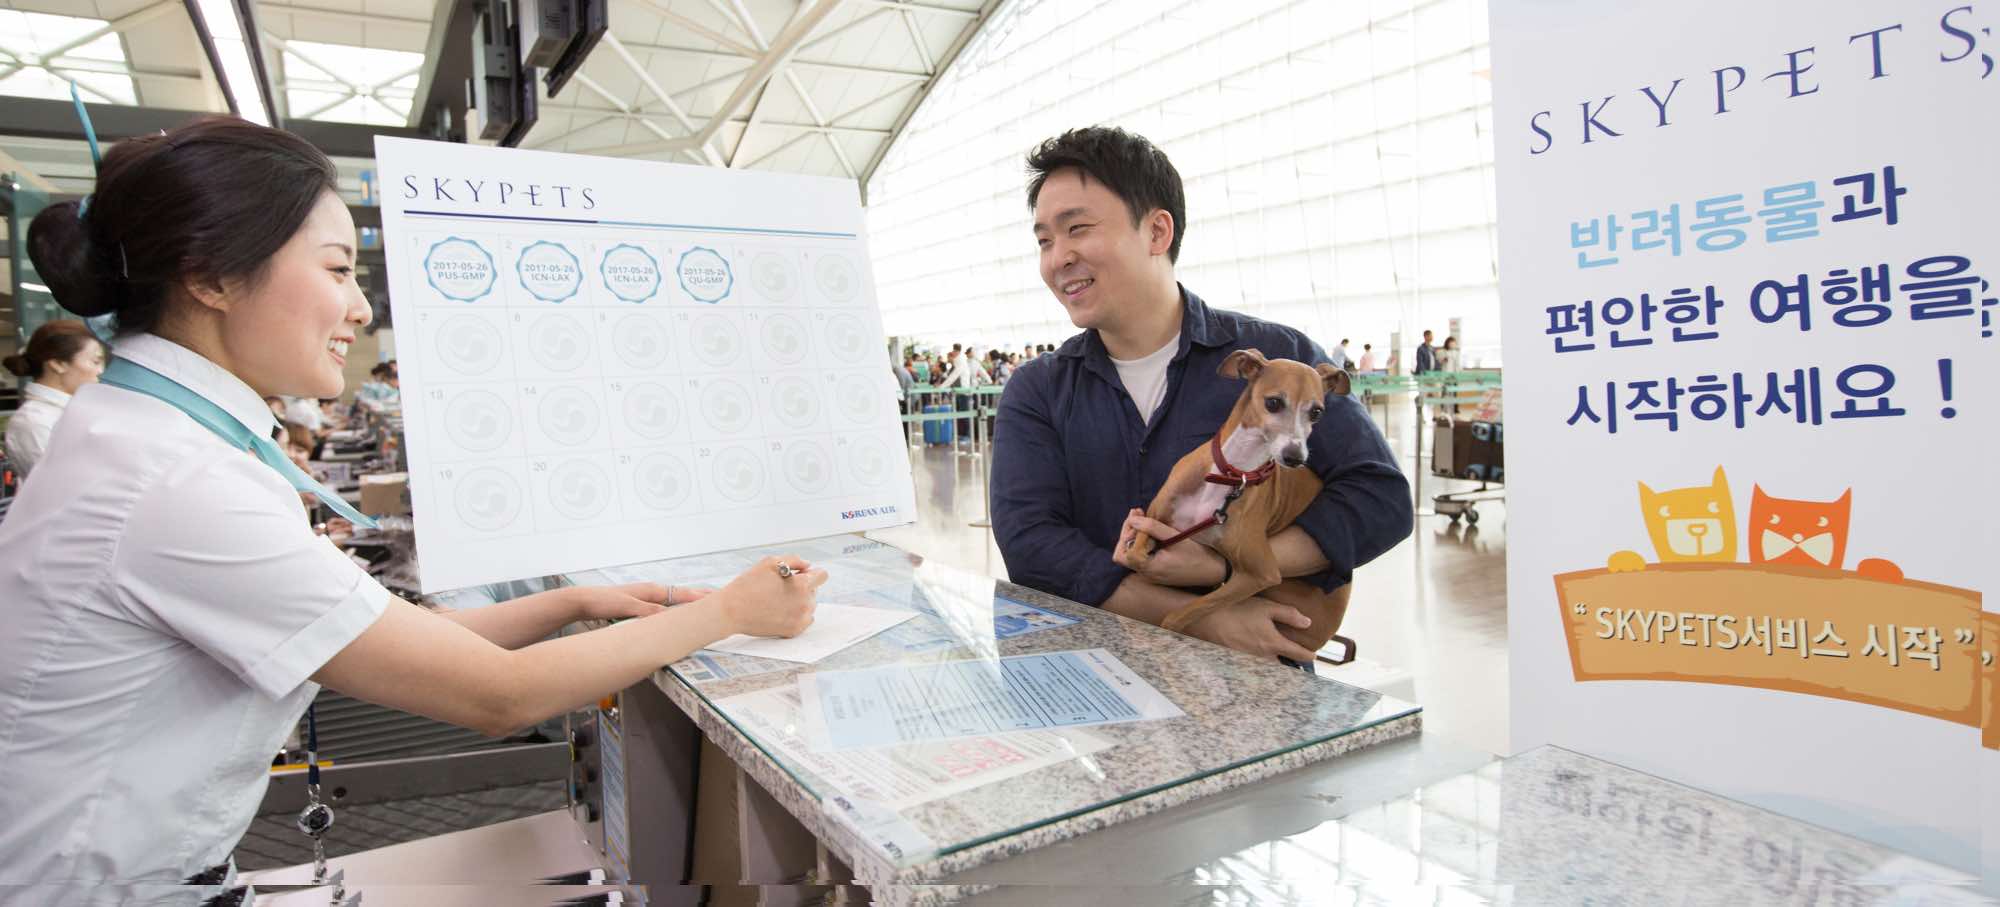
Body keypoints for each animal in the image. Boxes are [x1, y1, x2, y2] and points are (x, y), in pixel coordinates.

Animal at [1128, 347, 1360, 651]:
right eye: (1273, 402)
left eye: (1316, 412)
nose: (1294, 457)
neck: (1232, 475)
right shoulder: (1155, 513)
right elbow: (1134, 556)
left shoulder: (1263, 574)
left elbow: (1177, 616)